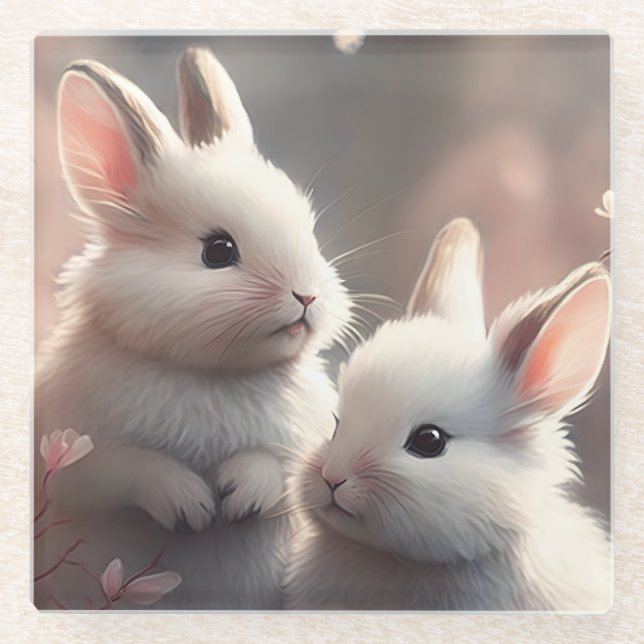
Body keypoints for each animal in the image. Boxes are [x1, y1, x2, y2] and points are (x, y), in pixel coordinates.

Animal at [34, 46, 352, 609]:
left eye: (308, 233)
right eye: (218, 251)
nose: (308, 295)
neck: (213, 375)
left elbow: (285, 465)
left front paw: (241, 493)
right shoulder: (72, 451)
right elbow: (125, 467)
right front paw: (190, 506)